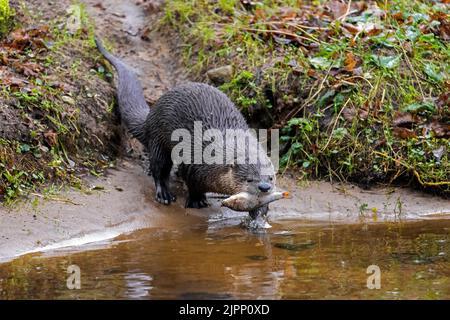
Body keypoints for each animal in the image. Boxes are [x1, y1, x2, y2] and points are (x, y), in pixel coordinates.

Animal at [96, 37, 274, 218]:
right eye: (249, 179)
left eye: (271, 178)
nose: (264, 187)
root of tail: (150, 115)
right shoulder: (194, 165)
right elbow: (192, 184)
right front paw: (197, 200)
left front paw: (261, 212)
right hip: (158, 140)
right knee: (159, 168)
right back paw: (164, 194)